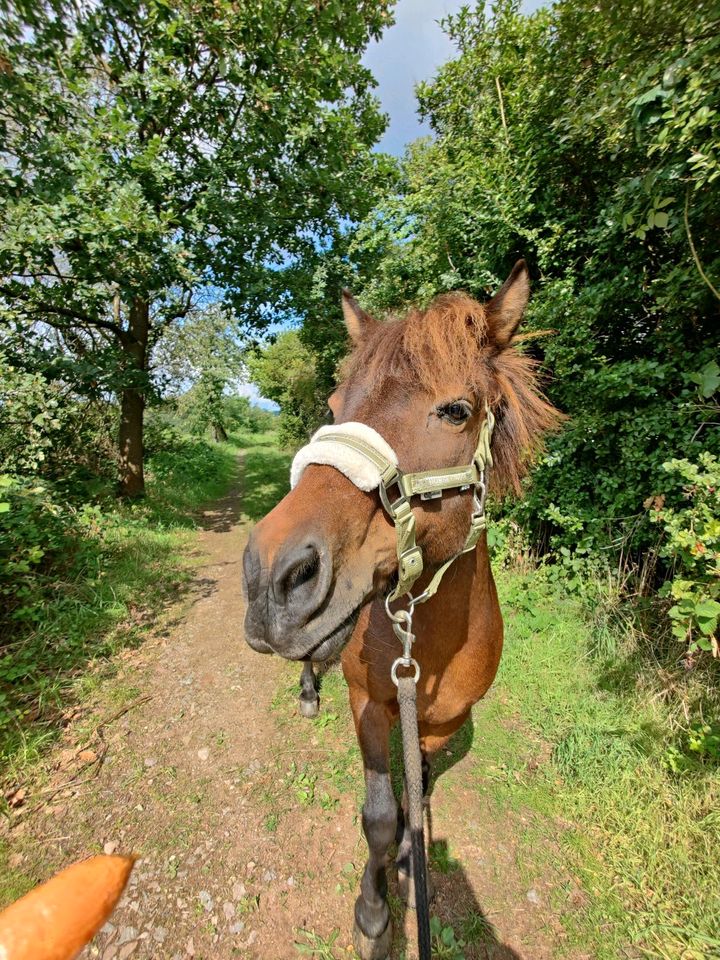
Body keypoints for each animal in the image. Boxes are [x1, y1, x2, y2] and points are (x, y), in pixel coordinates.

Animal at [245, 258, 560, 956]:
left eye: (456, 410)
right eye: (335, 408)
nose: (270, 574)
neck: (427, 649)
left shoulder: (441, 725)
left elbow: (419, 799)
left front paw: (414, 866)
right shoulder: (366, 701)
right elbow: (382, 817)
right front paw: (374, 912)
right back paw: (307, 690)